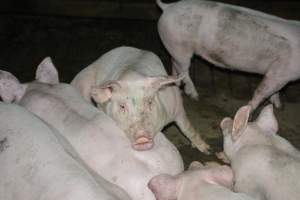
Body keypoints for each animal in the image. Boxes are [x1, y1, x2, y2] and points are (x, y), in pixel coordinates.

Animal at [70, 46, 211, 153]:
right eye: (122, 106)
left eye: (149, 102)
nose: (142, 137)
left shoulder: (176, 107)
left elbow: (187, 128)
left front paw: (207, 150)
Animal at [156, 0, 300, 111]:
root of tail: (167, 7)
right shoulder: (280, 72)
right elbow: (261, 92)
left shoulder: (280, 75)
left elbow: (276, 91)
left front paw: (279, 107)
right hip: (180, 46)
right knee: (184, 70)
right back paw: (195, 96)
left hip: (174, 47)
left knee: (174, 64)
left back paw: (177, 87)